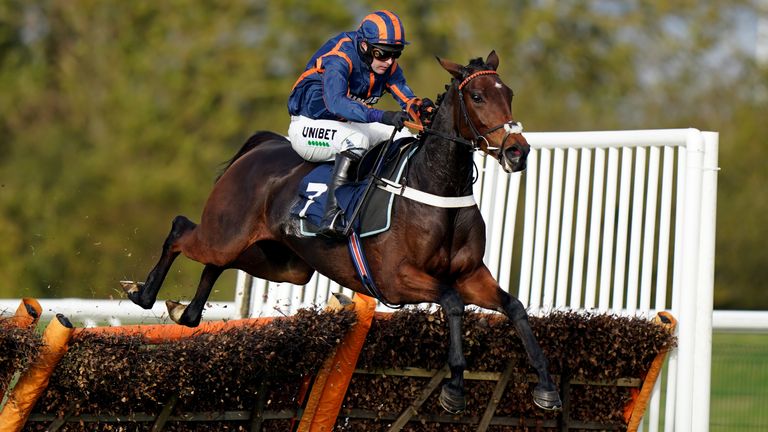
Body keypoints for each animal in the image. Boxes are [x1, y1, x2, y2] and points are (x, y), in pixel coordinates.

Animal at [123, 49, 560, 412]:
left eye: (509, 93)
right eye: (478, 97)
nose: (518, 151)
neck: (434, 186)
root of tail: (261, 146)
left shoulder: (472, 275)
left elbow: (515, 307)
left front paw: (546, 386)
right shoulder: (397, 279)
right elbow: (452, 303)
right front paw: (453, 388)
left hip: (282, 261)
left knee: (220, 263)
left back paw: (187, 311)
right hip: (226, 233)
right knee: (181, 230)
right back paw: (143, 293)